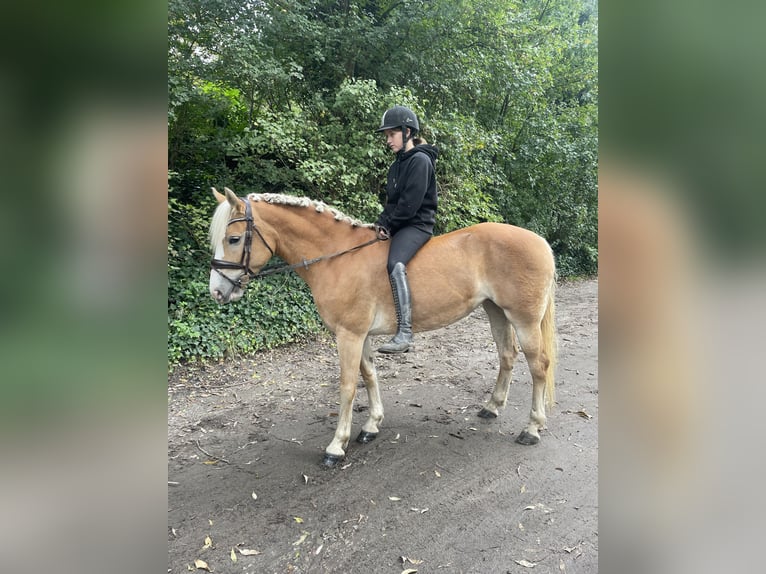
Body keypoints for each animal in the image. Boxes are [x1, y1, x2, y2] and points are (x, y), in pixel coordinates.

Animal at [210, 189, 560, 468]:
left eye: (233, 239)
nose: (216, 292)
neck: (336, 259)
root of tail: (540, 241)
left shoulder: (348, 335)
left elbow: (348, 386)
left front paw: (336, 446)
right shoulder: (360, 334)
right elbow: (369, 375)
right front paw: (372, 425)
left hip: (524, 318)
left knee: (539, 365)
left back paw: (532, 428)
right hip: (495, 310)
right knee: (506, 355)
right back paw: (491, 408)